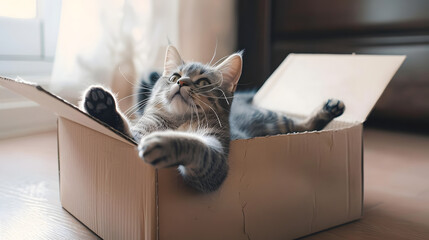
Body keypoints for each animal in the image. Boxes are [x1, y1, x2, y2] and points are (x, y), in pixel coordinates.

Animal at [82, 45, 346, 192]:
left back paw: (330, 107)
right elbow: (125, 129)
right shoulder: (138, 133)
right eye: (175, 76)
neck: (180, 121)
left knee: (304, 124)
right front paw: (101, 107)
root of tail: (248, 98)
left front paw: (165, 142)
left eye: (202, 82)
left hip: (277, 121)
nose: (181, 82)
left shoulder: (216, 155)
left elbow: (194, 145)